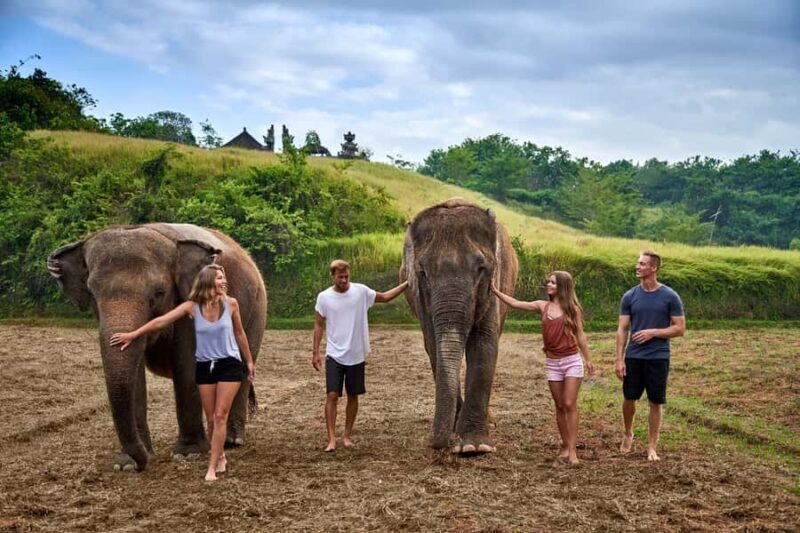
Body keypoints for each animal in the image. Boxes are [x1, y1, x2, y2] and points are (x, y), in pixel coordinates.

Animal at [401, 198, 518, 454]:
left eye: (481, 269)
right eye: (422, 272)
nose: (436, 444)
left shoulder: (493, 287)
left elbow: (484, 344)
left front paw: (474, 447)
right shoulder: (420, 297)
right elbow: (434, 346)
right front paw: (460, 437)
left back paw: (488, 422)